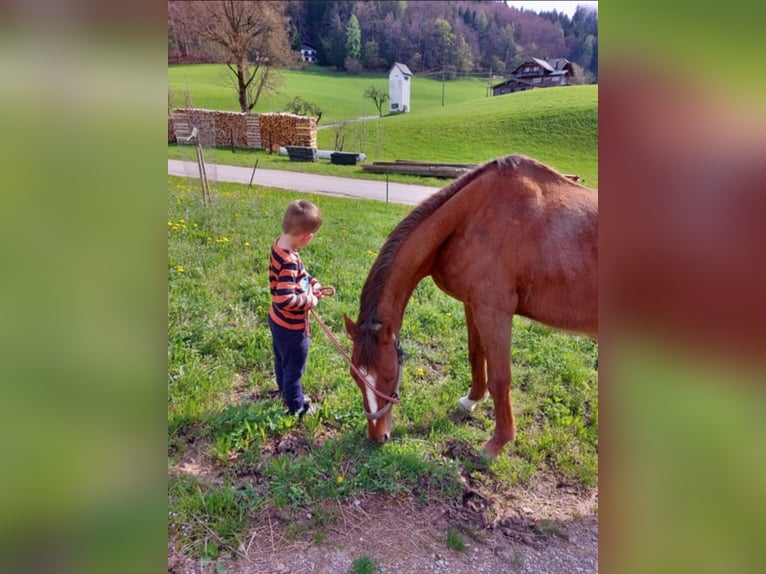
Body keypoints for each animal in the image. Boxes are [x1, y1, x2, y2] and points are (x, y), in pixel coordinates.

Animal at [344, 155, 600, 462]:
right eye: (355, 377)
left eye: (390, 376)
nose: (377, 435)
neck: (470, 217)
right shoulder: (473, 304)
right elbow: (476, 355)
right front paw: (472, 400)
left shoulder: (494, 311)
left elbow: (500, 377)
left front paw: (497, 443)